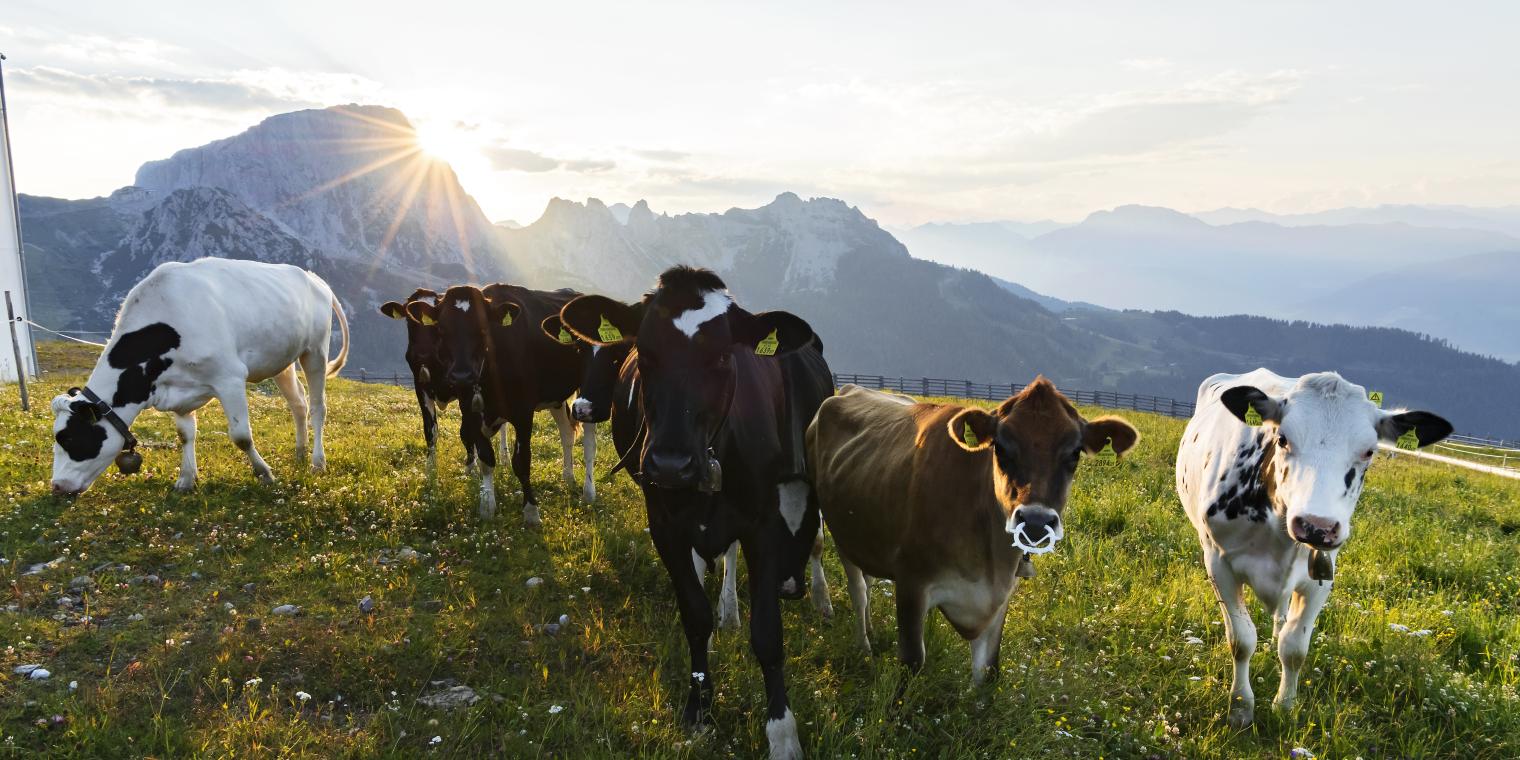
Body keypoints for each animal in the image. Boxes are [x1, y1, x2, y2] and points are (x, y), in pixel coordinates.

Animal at [50, 258, 349, 496]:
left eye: (70, 439)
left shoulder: (230, 378)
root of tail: (313, 277)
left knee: (318, 407)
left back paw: (317, 461)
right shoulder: (177, 390)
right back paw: (300, 451)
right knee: (298, 403)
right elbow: (185, 435)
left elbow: (242, 436)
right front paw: (186, 479)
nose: (57, 486)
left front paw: (264, 473)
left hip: (315, 351)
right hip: (280, 360)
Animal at [404, 284, 590, 524]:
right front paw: (486, 506)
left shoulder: (523, 412)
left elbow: (522, 461)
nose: (462, 376)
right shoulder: (471, 410)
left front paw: (531, 512)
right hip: (555, 397)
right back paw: (568, 477)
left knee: (588, 440)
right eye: (442, 330)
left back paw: (589, 491)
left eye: (484, 329)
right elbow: (485, 457)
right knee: (566, 432)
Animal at [559, 266, 833, 760]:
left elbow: (768, 634)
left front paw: (782, 733)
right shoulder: (664, 527)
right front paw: (699, 707)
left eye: (724, 356)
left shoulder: (763, 524)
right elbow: (695, 615)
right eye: (644, 353)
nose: (671, 464)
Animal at [807, 381, 1137, 684]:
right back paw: (862, 644)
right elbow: (912, 662)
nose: (1034, 520)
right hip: (839, 529)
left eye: (1074, 453)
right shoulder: (911, 582)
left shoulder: (999, 597)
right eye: (1000, 447)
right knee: (857, 590)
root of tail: (851, 389)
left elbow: (988, 673)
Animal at [1176, 369, 1453, 728]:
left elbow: (1294, 647)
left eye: (1369, 451)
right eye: (1282, 438)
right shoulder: (1218, 562)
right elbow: (1241, 640)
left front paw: (1285, 706)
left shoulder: (1321, 575)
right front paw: (1240, 707)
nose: (1316, 525)